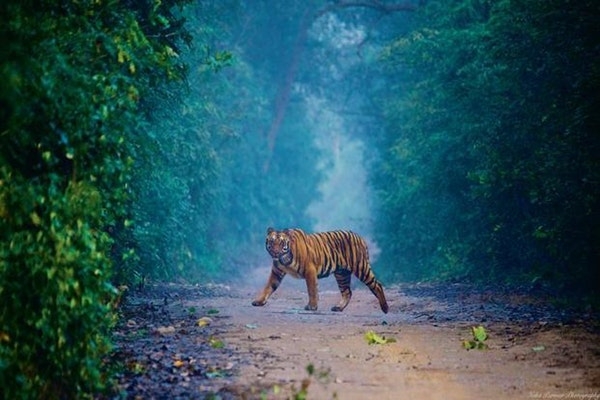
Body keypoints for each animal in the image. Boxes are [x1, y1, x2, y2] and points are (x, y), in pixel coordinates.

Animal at [252, 227, 390, 314]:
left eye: (281, 243)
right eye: (271, 241)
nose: (275, 252)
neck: (284, 259)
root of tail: (360, 237)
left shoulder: (309, 270)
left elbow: (312, 289)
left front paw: (312, 306)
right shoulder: (276, 272)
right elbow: (269, 287)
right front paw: (259, 301)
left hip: (361, 267)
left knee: (377, 285)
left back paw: (385, 308)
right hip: (342, 274)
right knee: (347, 292)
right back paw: (338, 308)